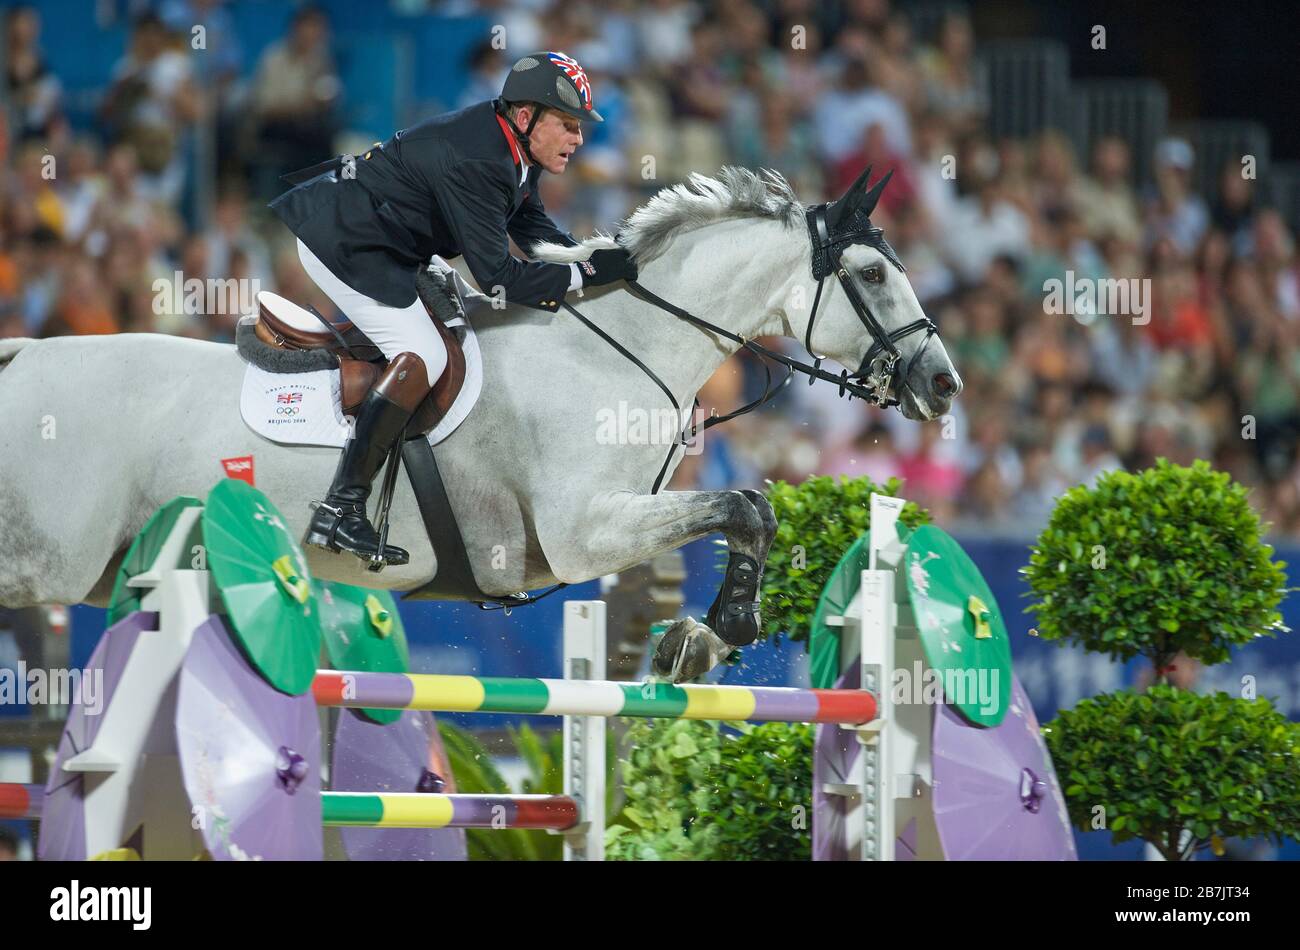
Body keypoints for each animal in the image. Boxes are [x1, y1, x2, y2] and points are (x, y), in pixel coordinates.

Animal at [0, 167, 956, 680]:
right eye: (873, 273)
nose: (943, 386)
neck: (615, 350)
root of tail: (21, 357)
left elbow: (747, 510)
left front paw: (698, 640)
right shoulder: (583, 533)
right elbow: (746, 506)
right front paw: (720, 629)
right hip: (55, 557)